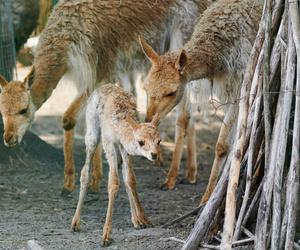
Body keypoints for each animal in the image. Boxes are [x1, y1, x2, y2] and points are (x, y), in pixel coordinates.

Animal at [71, 83, 161, 246]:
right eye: (141, 142)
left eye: (159, 141)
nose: (154, 154)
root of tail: (102, 86)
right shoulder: (108, 142)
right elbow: (113, 182)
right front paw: (106, 236)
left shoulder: (124, 147)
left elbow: (130, 179)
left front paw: (143, 219)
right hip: (92, 132)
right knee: (84, 172)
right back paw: (75, 223)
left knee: (125, 175)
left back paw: (136, 221)